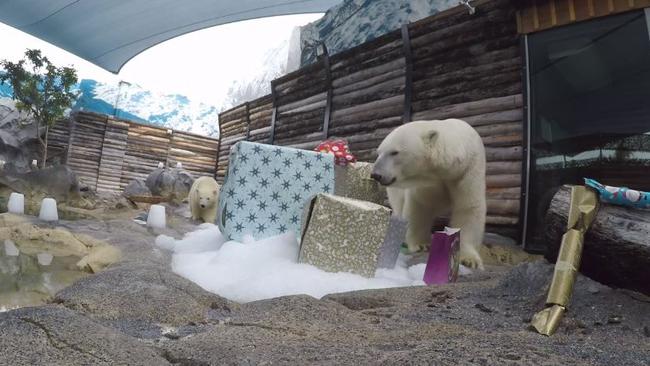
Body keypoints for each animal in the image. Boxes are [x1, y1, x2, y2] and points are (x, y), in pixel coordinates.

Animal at [372, 119, 484, 268]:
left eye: (394, 152)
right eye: (379, 152)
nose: (376, 174)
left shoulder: (468, 171)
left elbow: (468, 208)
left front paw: (469, 260)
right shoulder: (429, 183)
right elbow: (421, 206)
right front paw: (421, 245)